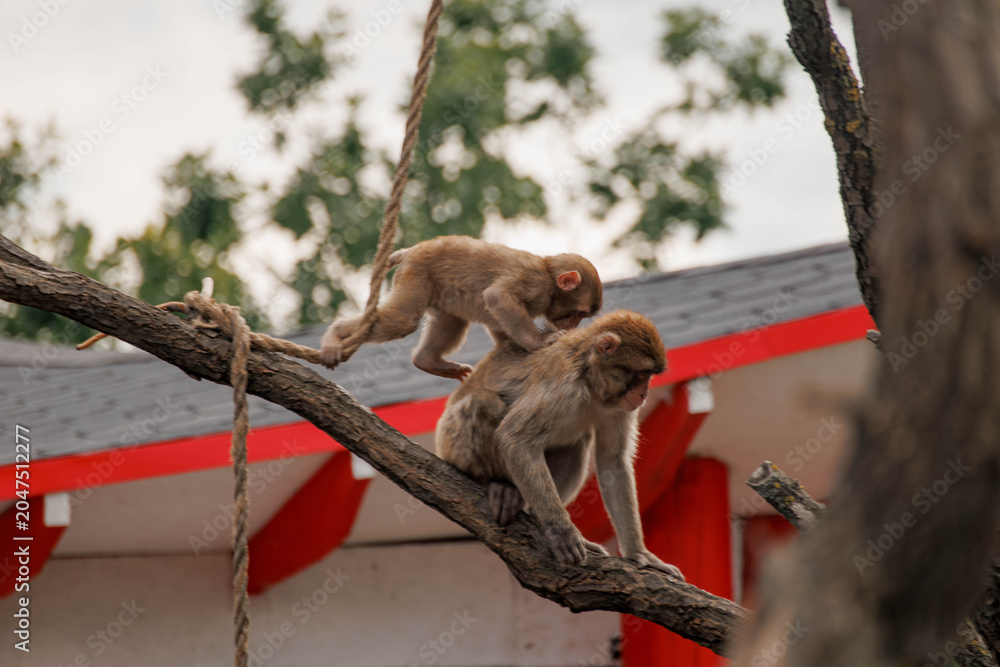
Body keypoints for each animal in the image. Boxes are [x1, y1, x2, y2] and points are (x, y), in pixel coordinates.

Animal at [320, 236, 603, 380]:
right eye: (579, 314)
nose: (574, 325)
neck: (549, 275)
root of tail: (411, 250)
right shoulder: (535, 283)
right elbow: (497, 297)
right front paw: (538, 341)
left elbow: (497, 320)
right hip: (416, 271)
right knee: (403, 320)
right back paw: (335, 333)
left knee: (451, 321)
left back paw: (427, 361)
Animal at [435, 310, 683, 579]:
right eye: (641, 374)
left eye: (649, 376)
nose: (643, 394)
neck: (590, 381)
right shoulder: (563, 388)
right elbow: (515, 438)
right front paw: (560, 531)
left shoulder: (619, 405)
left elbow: (612, 461)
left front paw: (638, 552)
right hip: (452, 444)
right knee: (483, 402)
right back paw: (496, 486)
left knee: (576, 445)